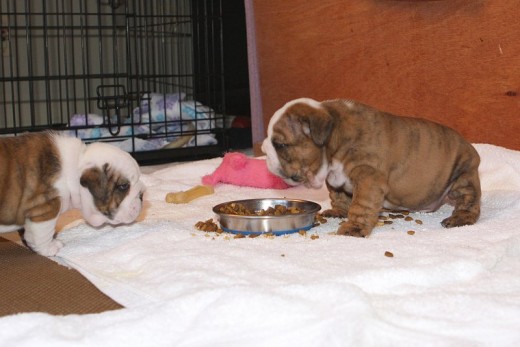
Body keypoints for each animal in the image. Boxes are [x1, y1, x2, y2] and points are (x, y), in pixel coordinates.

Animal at [0, 132, 144, 256]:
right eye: (123, 186)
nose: (142, 195)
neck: (75, 167)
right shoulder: (45, 208)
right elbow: (42, 232)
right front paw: (49, 248)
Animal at [262, 99, 482, 238]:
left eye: (280, 145)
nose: (263, 149)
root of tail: (470, 147)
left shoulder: (368, 179)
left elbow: (361, 205)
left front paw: (354, 227)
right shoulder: (335, 180)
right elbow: (339, 196)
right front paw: (339, 211)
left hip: (463, 178)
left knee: (470, 202)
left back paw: (459, 217)